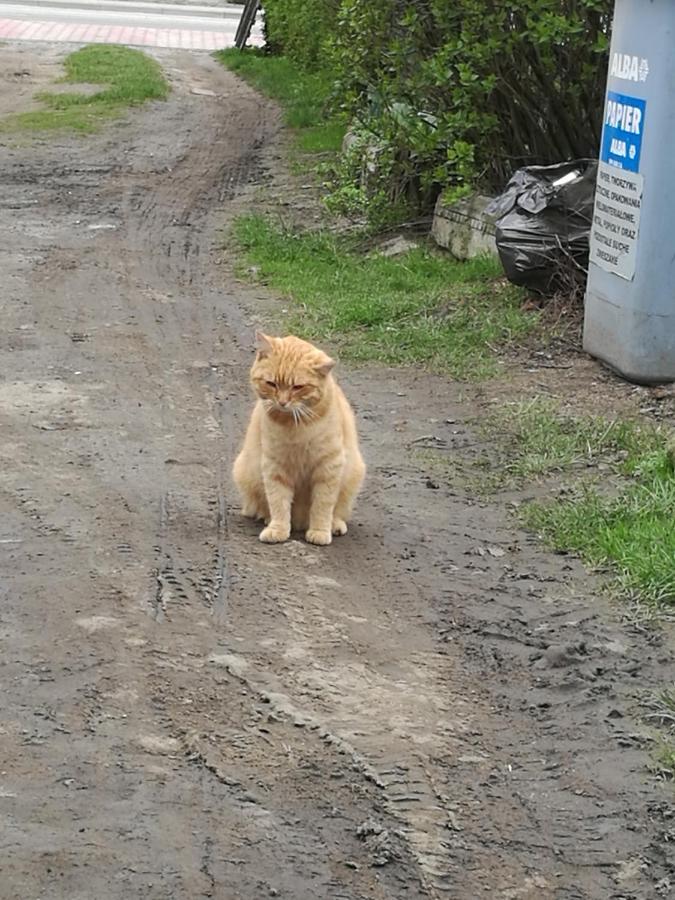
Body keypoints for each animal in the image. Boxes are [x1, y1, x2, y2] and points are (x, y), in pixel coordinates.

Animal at [235, 334, 368, 544]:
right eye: (271, 384)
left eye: (297, 387)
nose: (282, 402)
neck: (294, 425)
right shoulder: (275, 466)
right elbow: (278, 501)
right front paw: (278, 529)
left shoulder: (329, 467)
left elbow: (323, 505)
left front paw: (320, 531)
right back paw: (268, 519)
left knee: (337, 511)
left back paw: (334, 525)